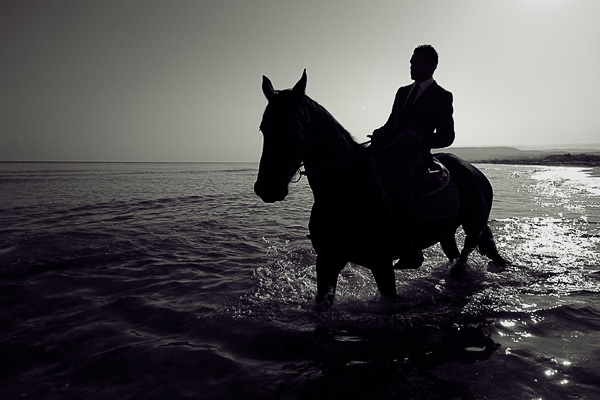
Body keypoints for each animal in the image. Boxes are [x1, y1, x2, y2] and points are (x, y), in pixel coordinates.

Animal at [253, 71, 506, 306]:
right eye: (263, 128)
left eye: (292, 129)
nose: (266, 188)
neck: (347, 191)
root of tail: (473, 170)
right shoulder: (327, 260)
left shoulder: (381, 264)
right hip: (446, 231)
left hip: (472, 226)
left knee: (465, 255)